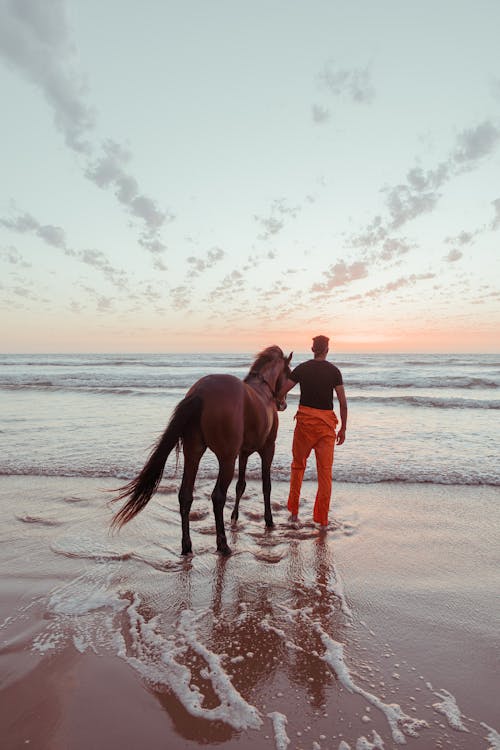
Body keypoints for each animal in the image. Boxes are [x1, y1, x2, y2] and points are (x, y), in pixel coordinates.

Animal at [109, 350, 290, 556]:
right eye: (289, 372)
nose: (283, 404)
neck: (262, 390)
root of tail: (200, 392)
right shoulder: (267, 449)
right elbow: (266, 486)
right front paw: (269, 520)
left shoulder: (243, 453)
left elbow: (241, 485)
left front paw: (235, 516)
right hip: (226, 459)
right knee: (218, 496)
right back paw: (223, 544)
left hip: (193, 453)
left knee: (185, 495)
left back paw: (187, 545)